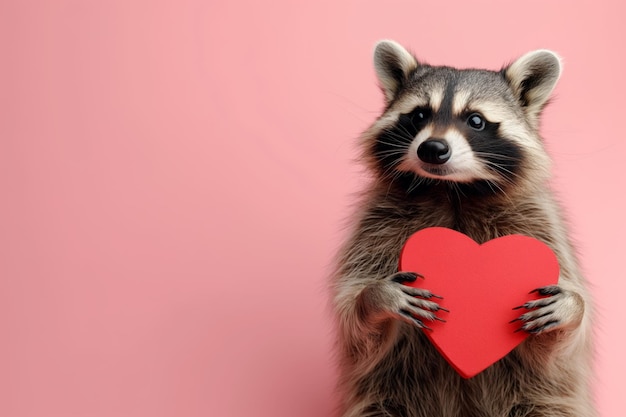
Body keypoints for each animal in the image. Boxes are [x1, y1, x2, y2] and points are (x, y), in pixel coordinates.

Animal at [330, 41, 592, 416]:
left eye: (476, 120)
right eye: (419, 115)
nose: (432, 149)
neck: (452, 191)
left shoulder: (539, 223)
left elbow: (553, 353)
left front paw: (572, 308)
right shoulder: (377, 221)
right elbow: (356, 323)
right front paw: (376, 297)